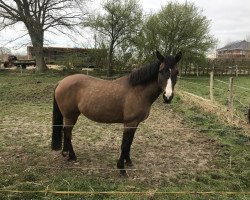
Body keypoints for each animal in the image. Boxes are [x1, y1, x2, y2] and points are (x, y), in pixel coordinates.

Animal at [52, 50, 182, 176]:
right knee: (68, 132)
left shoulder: (135, 123)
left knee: (66, 131)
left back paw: (66, 153)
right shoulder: (129, 123)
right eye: (161, 71)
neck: (138, 91)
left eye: (177, 72)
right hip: (70, 116)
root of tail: (61, 82)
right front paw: (121, 168)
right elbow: (124, 144)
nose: (168, 97)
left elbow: (130, 143)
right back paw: (72, 156)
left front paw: (128, 161)